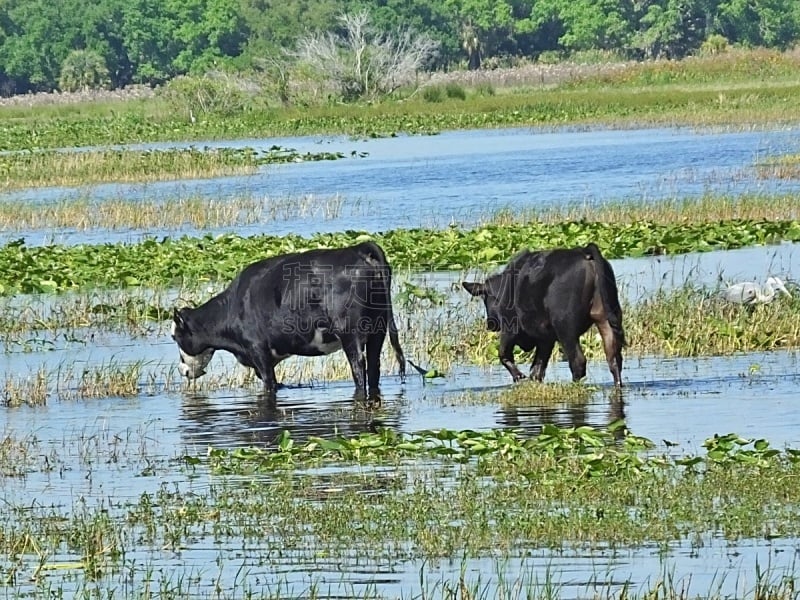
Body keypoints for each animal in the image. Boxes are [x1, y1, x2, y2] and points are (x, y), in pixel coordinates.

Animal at [170, 239, 406, 398]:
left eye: (174, 337)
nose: (183, 371)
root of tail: (358, 249)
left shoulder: (258, 350)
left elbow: (270, 383)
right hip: (378, 330)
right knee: (374, 367)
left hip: (350, 334)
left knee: (359, 367)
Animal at [462, 245, 624, 390]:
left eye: (485, 299)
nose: (490, 324)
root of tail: (584, 252)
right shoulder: (545, 338)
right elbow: (537, 370)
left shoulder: (510, 328)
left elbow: (503, 354)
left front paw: (518, 376)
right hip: (606, 318)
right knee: (614, 359)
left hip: (565, 328)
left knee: (578, 361)